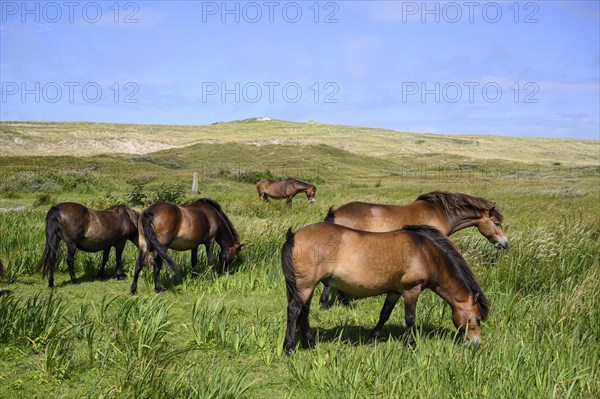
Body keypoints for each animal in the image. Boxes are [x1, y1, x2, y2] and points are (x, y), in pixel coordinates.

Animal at [282, 222, 488, 356]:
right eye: (476, 319)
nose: (476, 344)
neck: (426, 253)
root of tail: (294, 236)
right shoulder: (411, 290)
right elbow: (410, 318)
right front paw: (411, 344)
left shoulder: (395, 291)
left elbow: (384, 314)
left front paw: (372, 339)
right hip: (306, 286)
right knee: (294, 310)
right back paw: (289, 348)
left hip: (305, 287)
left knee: (303, 312)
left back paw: (309, 344)